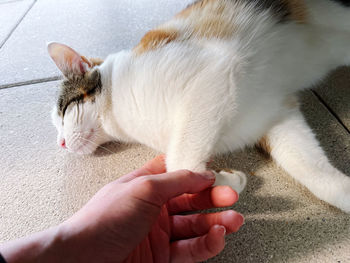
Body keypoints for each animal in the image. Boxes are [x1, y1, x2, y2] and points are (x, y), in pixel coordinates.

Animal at [48, 0, 350, 213]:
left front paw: (224, 180)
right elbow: (313, 171)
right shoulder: (274, 115)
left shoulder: (212, 76)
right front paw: (228, 181)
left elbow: (180, 164)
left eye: (63, 112)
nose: (60, 143)